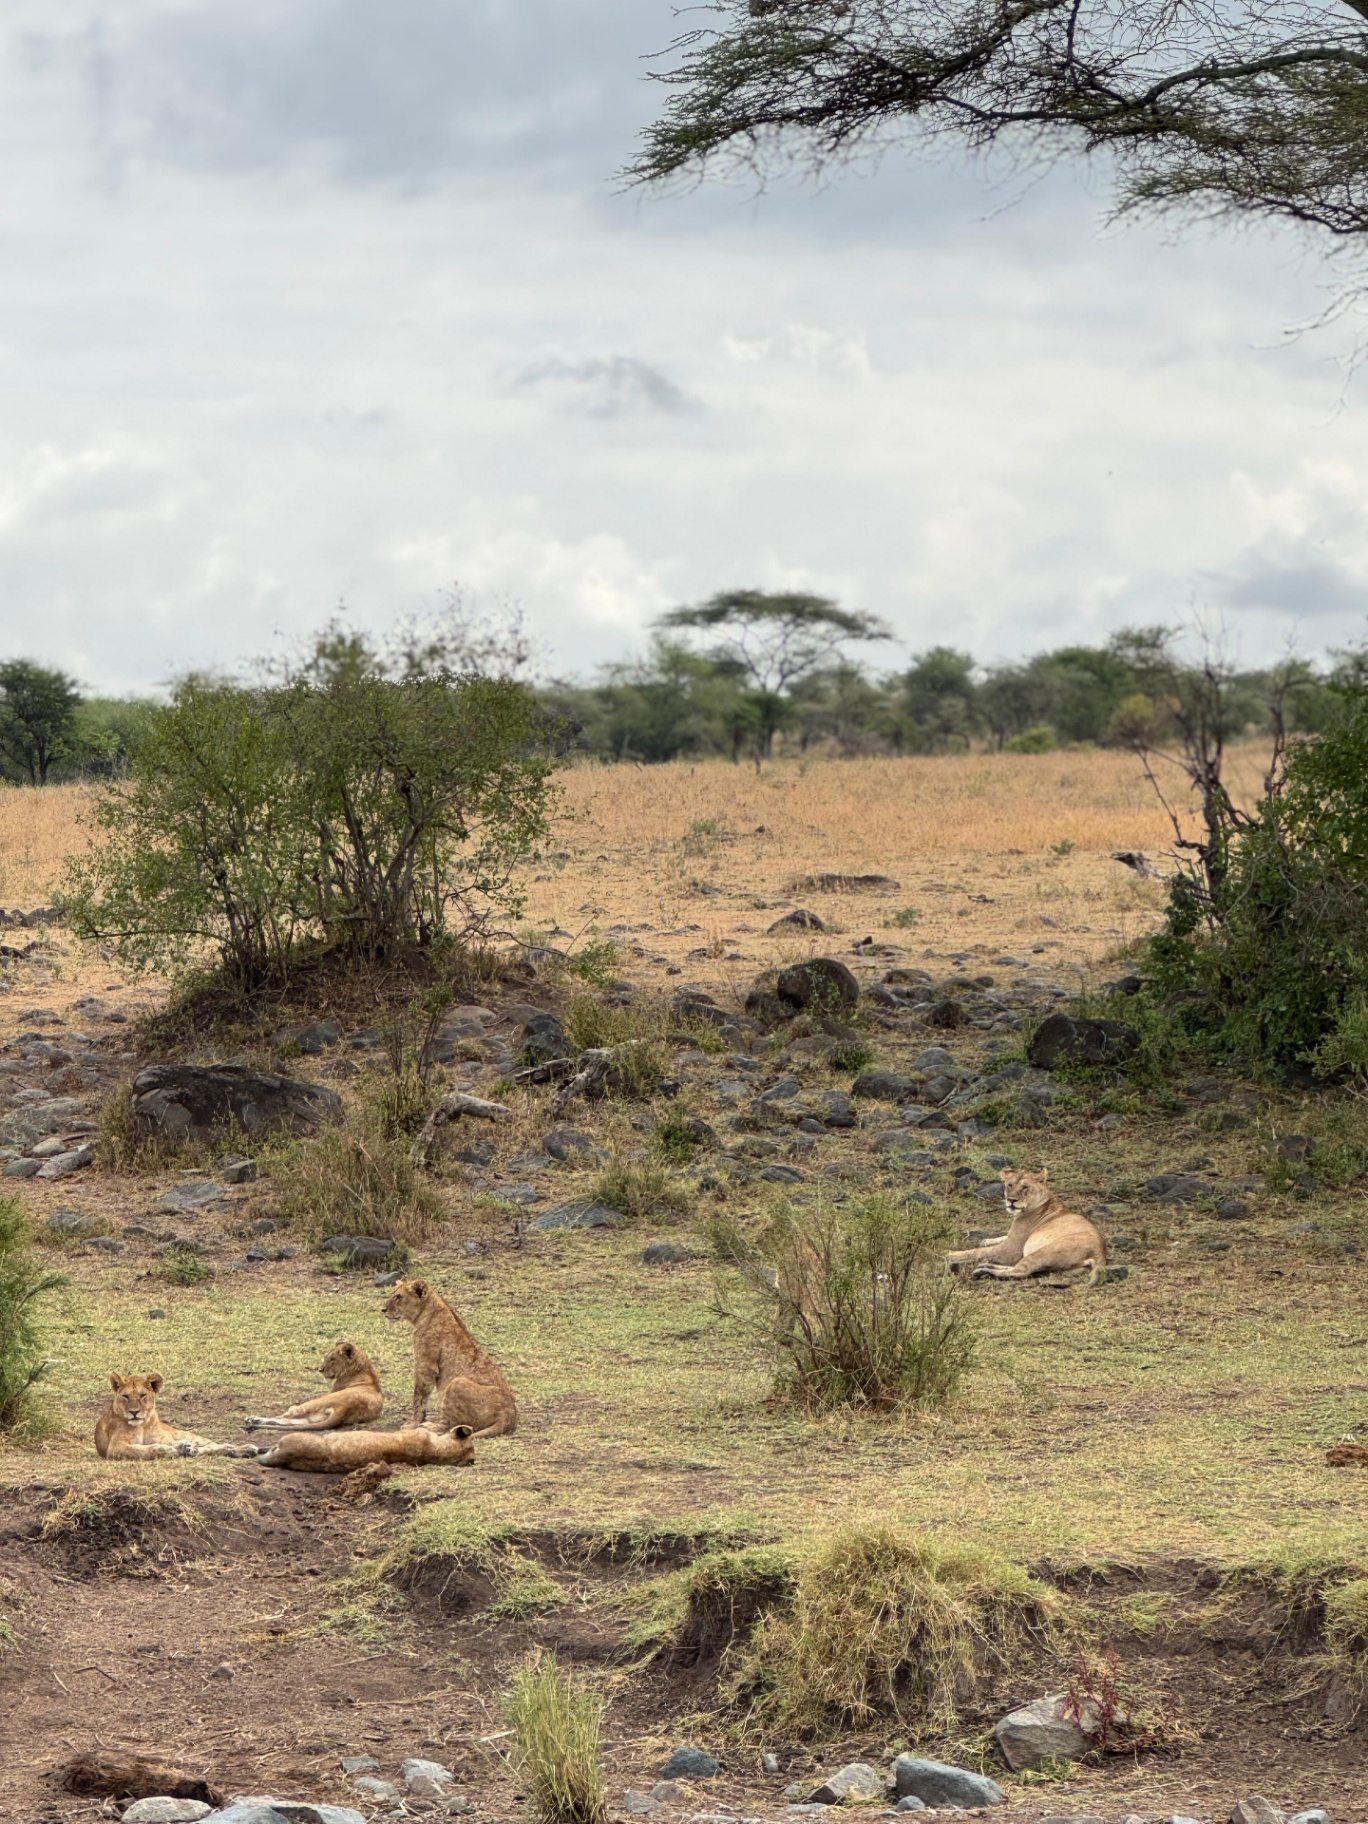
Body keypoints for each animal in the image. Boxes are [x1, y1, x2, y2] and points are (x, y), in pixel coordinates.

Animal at [95, 1373, 259, 1460]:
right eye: (125, 1396)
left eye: (142, 1396)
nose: (134, 1412)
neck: (141, 1425)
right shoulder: (115, 1447)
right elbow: (142, 1450)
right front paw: (171, 1450)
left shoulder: (165, 1438)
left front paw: (182, 1448)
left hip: (189, 1435)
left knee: (211, 1445)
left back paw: (244, 1449)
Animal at [245, 1340, 384, 1433]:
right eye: (327, 1357)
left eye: (332, 1359)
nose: (320, 1370)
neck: (365, 1368)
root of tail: (345, 1408)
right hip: (314, 1417)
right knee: (290, 1421)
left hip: (311, 1403)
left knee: (285, 1417)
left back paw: (253, 1419)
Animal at [383, 1278, 518, 1438]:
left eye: (398, 1297)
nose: (383, 1310)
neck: (430, 1310)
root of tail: (509, 1414)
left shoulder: (425, 1364)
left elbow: (419, 1397)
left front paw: (413, 1423)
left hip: (457, 1383)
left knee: (449, 1425)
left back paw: (429, 1427)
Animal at [946, 1167, 1107, 1283]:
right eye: (1010, 1185)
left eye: (1025, 1187)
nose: (1011, 1200)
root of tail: (1100, 1253)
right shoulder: (1011, 1239)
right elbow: (999, 1238)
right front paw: (984, 1240)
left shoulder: (1010, 1250)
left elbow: (978, 1252)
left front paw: (950, 1254)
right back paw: (985, 1266)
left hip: (1045, 1252)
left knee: (1021, 1271)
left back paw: (983, 1271)